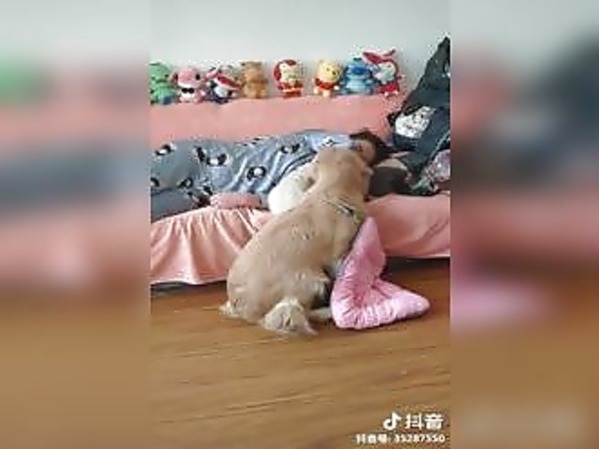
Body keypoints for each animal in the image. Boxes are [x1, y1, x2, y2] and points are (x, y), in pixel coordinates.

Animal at [221, 147, 373, 335]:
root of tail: (242, 309)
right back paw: (327, 312)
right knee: (306, 311)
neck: (330, 192)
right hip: (310, 281)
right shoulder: (337, 256)